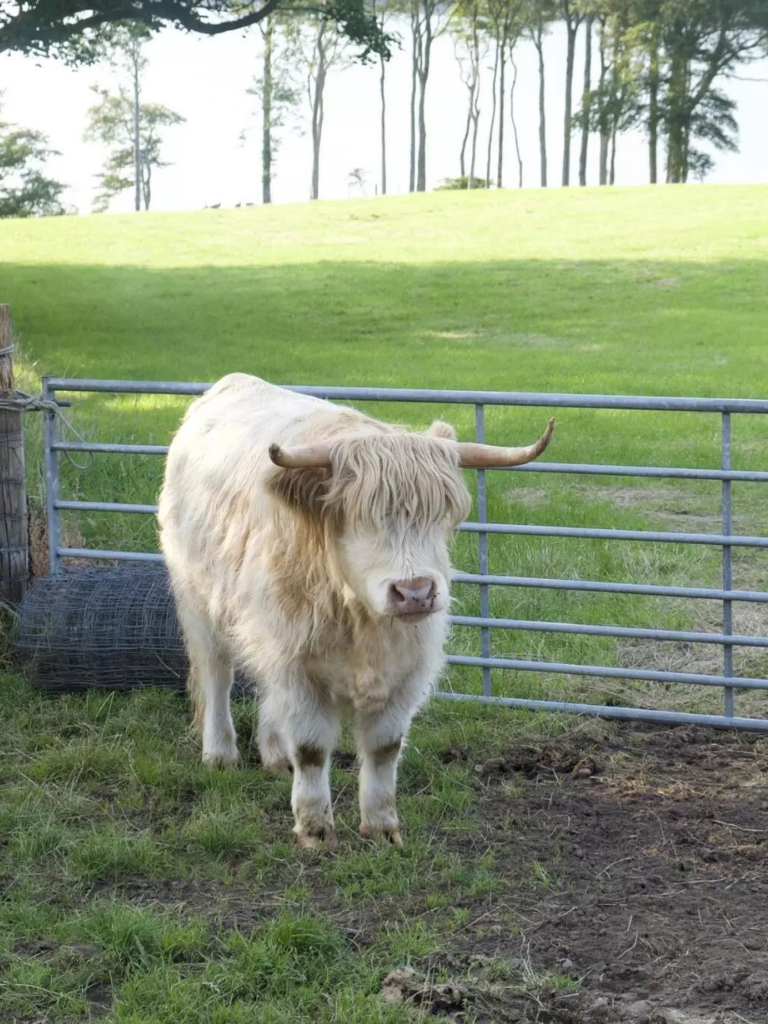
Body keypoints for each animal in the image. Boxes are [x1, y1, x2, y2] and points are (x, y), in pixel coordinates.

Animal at [158, 374, 553, 850]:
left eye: (440, 514)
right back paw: (220, 754)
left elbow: (384, 748)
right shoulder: (296, 660)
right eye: (360, 517)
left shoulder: (406, 667)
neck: (361, 621)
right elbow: (311, 747)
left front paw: (382, 828)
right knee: (217, 674)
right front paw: (315, 829)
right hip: (200, 600)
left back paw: (275, 755)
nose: (415, 592)